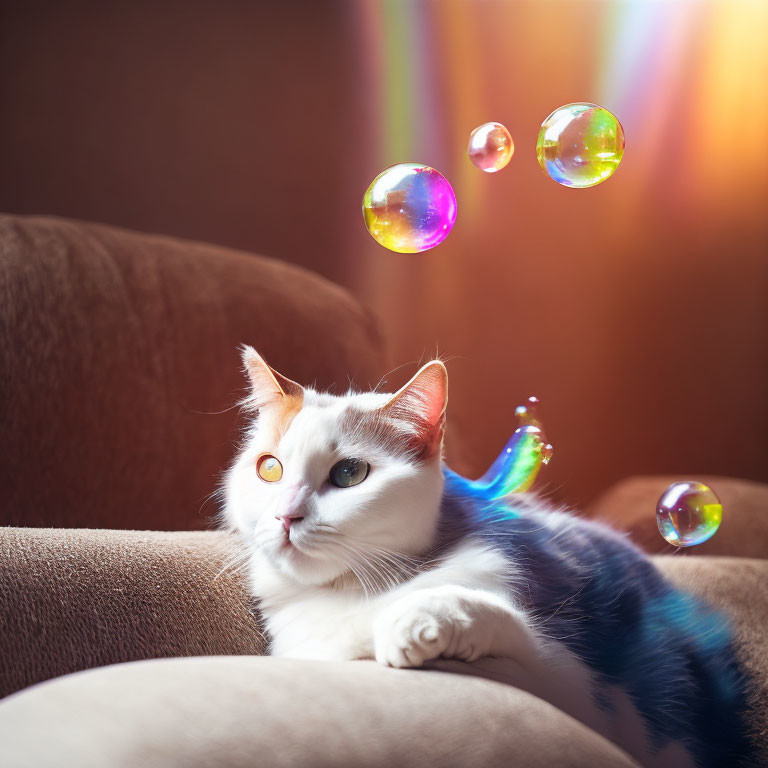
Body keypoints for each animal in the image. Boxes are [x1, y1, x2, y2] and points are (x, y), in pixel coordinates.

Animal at [222, 348, 756, 768]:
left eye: (349, 473)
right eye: (269, 469)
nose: (285, 516)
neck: (351, 591)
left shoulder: (580, 685)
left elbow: (501, 622)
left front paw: (418, 623)